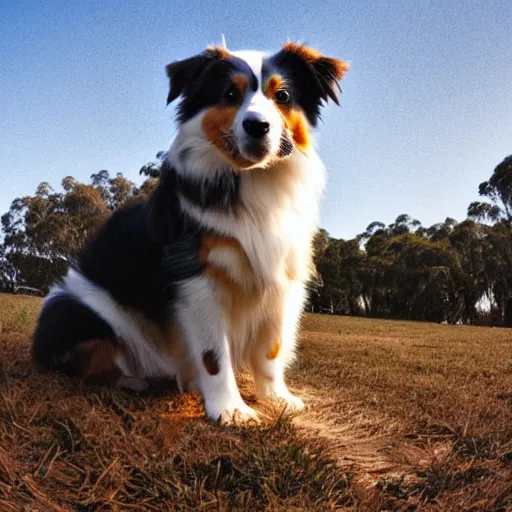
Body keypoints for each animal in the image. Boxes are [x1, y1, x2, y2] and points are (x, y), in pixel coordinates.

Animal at [32, 43, 348, 424]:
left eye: (282, 96)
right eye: (230, 94)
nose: (258, 126)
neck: (252, 182)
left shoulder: (282, 280)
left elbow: (270, 350)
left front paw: (277, 399)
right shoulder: (198, 279)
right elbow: (213, 355)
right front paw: (230, 410)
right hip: (73, 306)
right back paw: (133, 381)